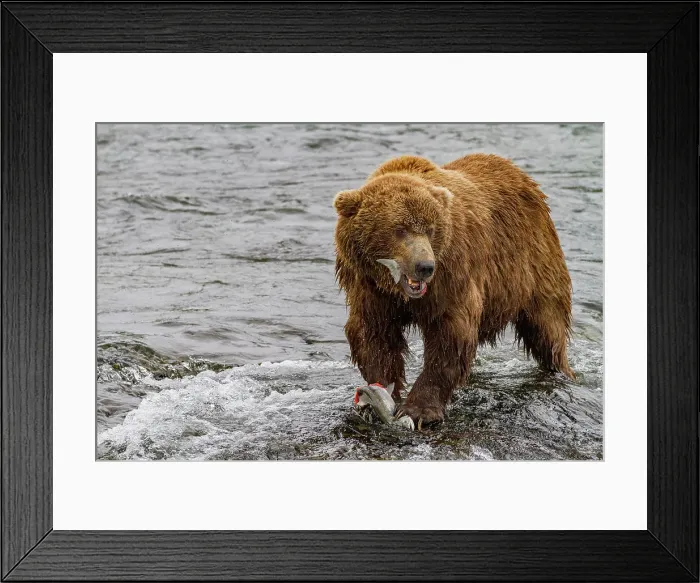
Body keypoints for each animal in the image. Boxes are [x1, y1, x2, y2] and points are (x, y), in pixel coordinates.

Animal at [333, 153, 574, 426]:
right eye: (400, 229)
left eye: (430, 229)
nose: (425, 266)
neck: (399, 291)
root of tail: (526, 179)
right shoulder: (369, 287)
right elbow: (374, 334)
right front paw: (379, 395)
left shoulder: (451, 277)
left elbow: (450, 336)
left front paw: (419, 410)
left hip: (534, 263)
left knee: (547, 328)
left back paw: (562, 371)